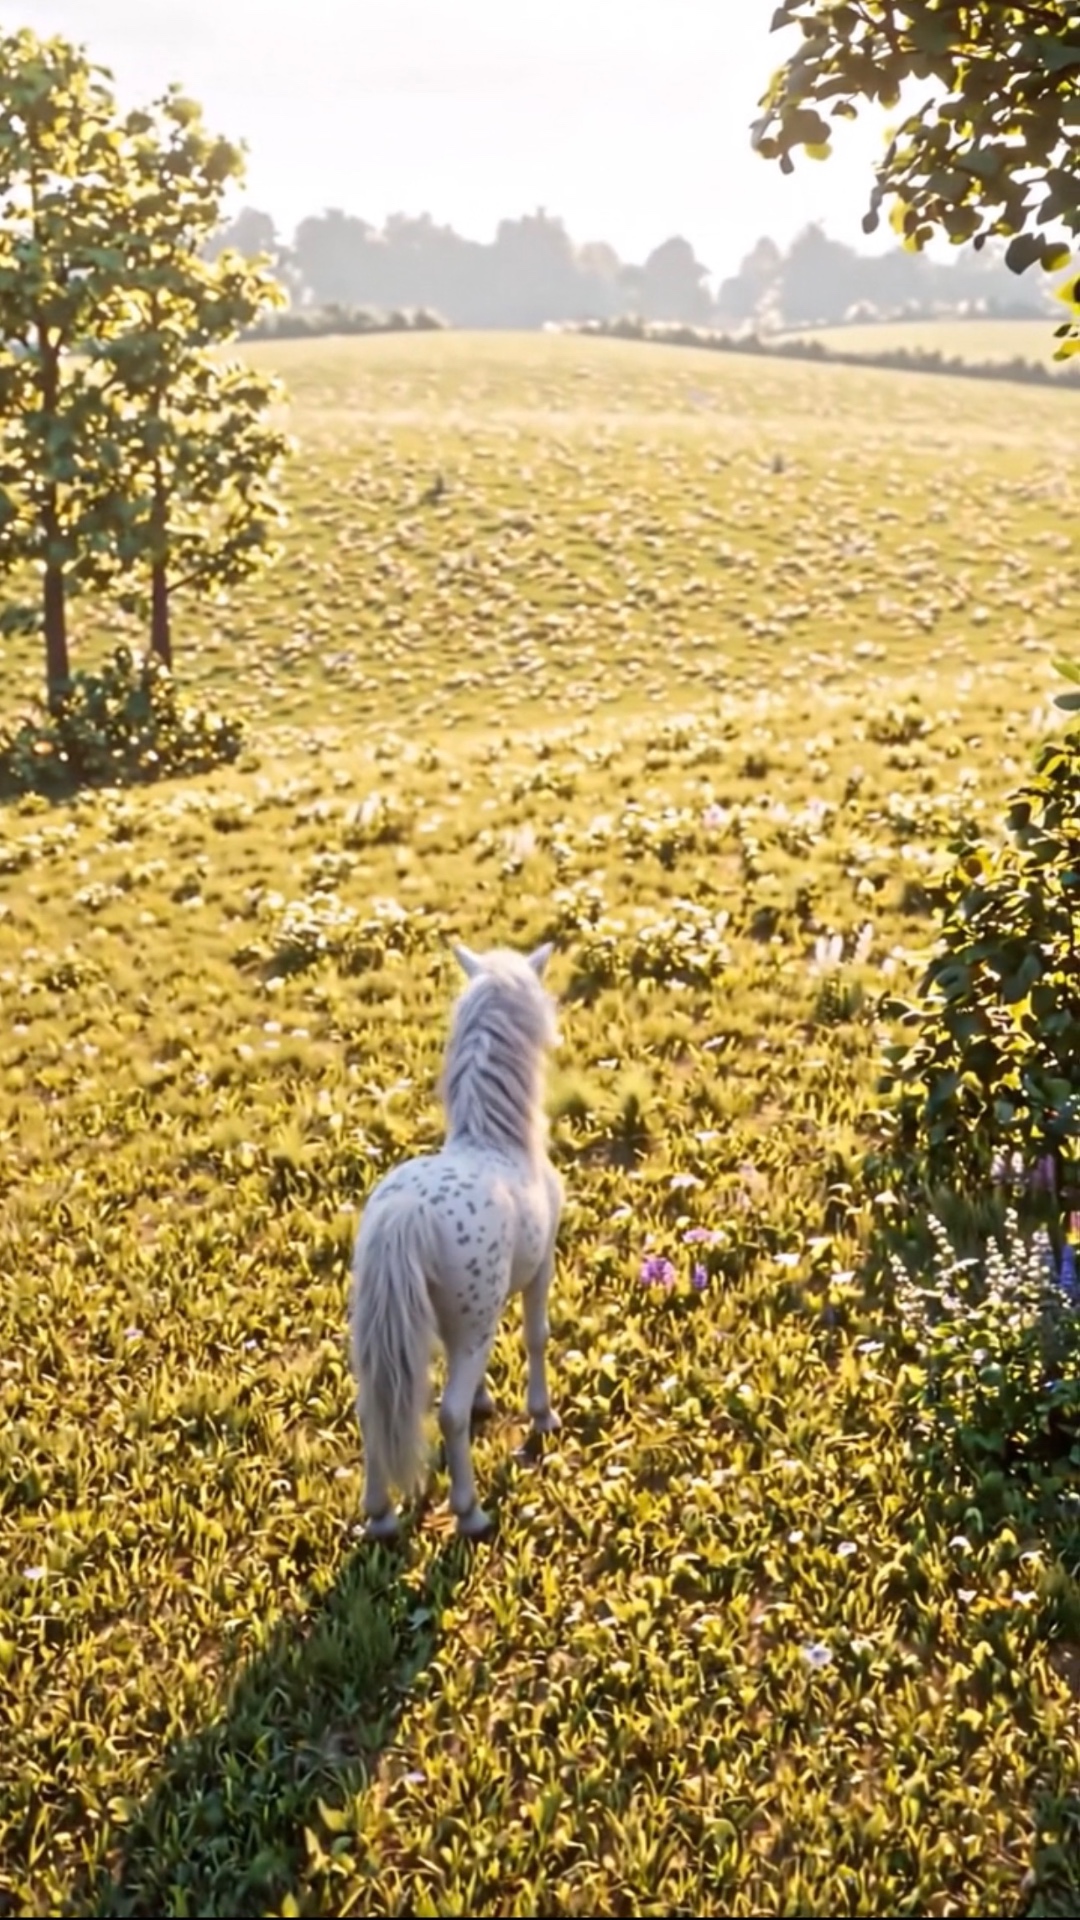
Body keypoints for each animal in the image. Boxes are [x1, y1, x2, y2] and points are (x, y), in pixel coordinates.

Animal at [349, 940, 564, 1539]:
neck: (495, 1139)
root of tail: (405, 1212)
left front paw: (486, 1403)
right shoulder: (541, 1269)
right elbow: (536, 1336)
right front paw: (542, 1414)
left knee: (373, 1406)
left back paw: (380, 1517)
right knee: (444, 1412)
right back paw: (470, 1513)